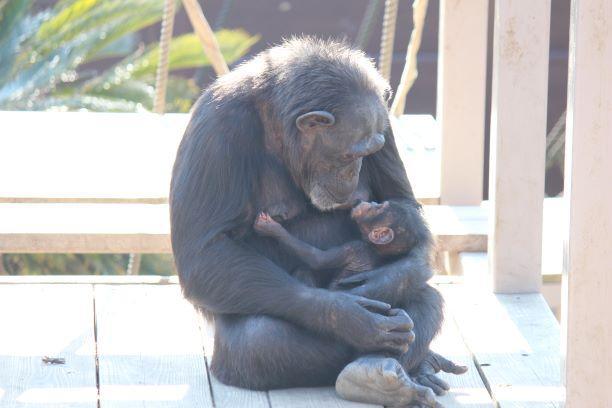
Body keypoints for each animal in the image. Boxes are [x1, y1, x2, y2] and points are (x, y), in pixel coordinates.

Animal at [253, 200, 420, 284]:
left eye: (379, 208)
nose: (372, 202)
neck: (374, 249)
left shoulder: (353, 249)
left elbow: (318, 259)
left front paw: (272, 228)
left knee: (304, 270)